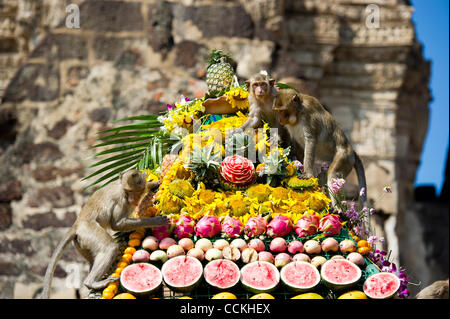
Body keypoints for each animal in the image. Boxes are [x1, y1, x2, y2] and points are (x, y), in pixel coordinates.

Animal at [41, 170, 168, 300]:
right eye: (128, 192)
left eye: (133, 191)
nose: (132, 198)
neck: (122, 189)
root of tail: (77, 225)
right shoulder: (120, 200)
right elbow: (116, 224)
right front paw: (155, 221)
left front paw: (153, 183)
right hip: (89, 231)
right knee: (110, 248)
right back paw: (91, 283)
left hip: (80, 243)